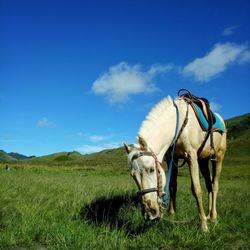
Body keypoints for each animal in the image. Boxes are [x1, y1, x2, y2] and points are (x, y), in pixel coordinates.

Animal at [124, 94, 227, 231]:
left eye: (151, 169)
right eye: (132, 175)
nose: (149, 213)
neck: (179, 125)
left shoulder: (191, 156)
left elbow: (197, 189)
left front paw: (203, 225)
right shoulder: (171, 158)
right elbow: (172, 186)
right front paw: (172, 214)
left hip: (218, 156)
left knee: (215, 185)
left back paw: (213, 217)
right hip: (203, 160)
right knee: (209, 185)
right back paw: (209, 214)